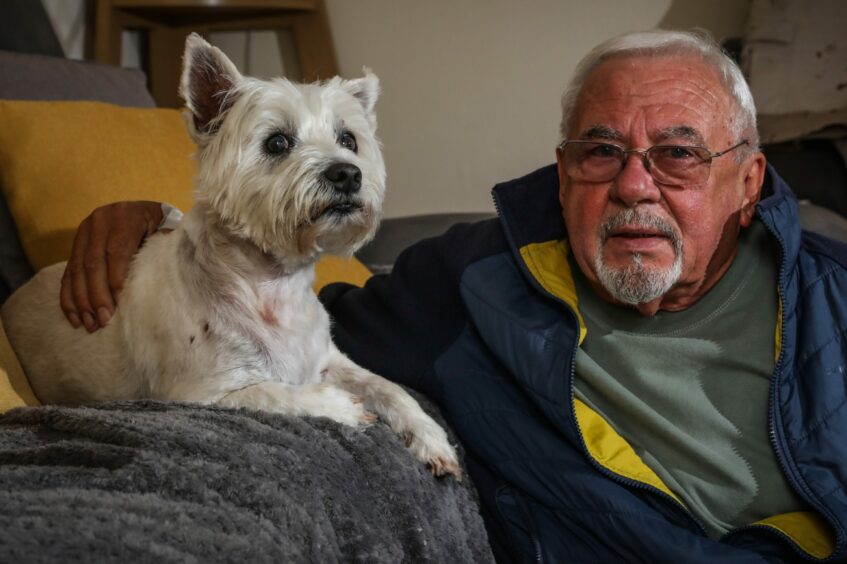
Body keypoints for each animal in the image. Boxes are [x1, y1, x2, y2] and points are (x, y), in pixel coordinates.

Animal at [1, 33, 464, 478]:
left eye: (348, 140)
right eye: (277, 142)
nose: (348, 173)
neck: (271, 283)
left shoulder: (328, 359)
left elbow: (388, 386)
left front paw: (430, 437)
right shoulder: (198, 393)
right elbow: (275, 393)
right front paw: (342, 407)